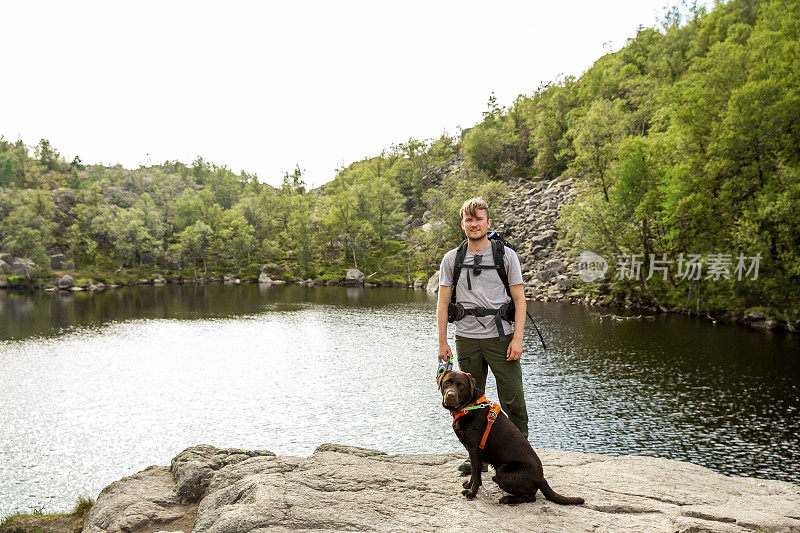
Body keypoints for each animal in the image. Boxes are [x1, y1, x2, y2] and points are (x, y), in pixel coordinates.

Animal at [438, 368, 580, 504]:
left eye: (461, 385)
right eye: (447, 382)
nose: (450, 395)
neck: (470, 406)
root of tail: (541, 478)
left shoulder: (474, 450)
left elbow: (477, 477)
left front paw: (472, 494)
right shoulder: (472, 453)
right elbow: (473, 473)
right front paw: (468, 485)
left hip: (503, 472)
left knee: (531, 497)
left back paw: (508, 499)